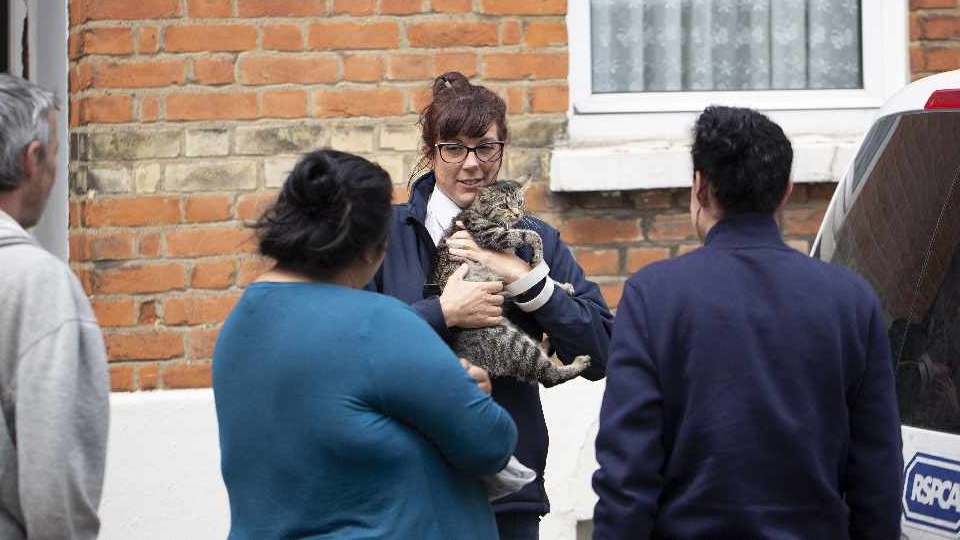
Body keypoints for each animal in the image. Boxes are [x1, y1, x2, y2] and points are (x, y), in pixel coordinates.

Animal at [430, 181, 592, 388]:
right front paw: (537, 255)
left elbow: (537, 274)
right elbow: (530, 234)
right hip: (513, 344)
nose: (516, 214)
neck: (478, 211)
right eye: (503, 206)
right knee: (548, 376)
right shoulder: (492, 235)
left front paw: (561, 285)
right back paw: (579, 363)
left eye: (520, 202)